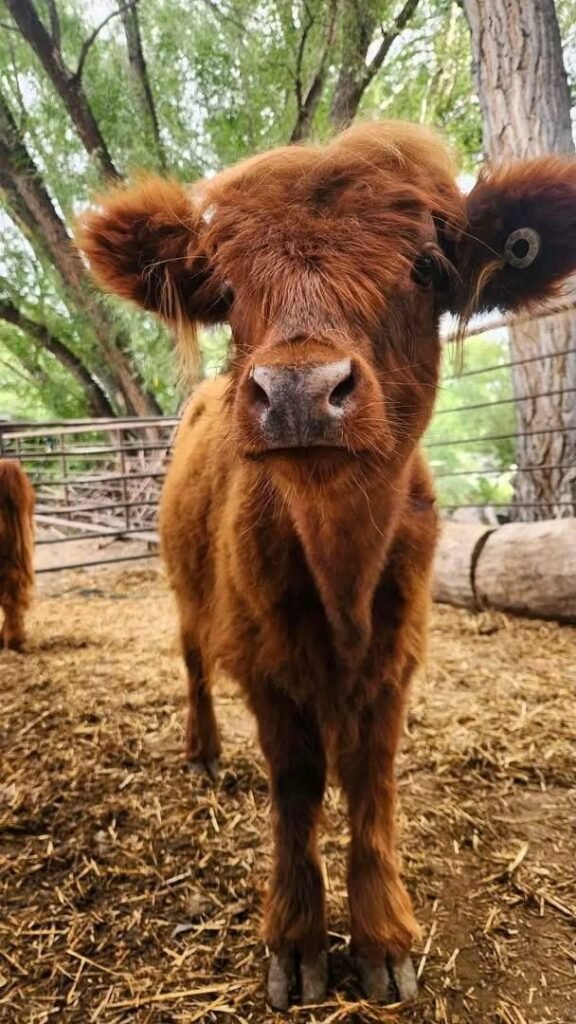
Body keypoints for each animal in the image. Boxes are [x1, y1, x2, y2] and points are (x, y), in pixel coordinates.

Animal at [76, 121, 576, 1008]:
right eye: (226, 290)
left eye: (425, 267)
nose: (301, 390)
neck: (343, 572)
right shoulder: (266, 665)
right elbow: (299, 786)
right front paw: (299, 940)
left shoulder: (397, 659)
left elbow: (370, 784)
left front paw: (382, 940)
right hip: (184, 583)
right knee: (192, 657)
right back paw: (203, 749)